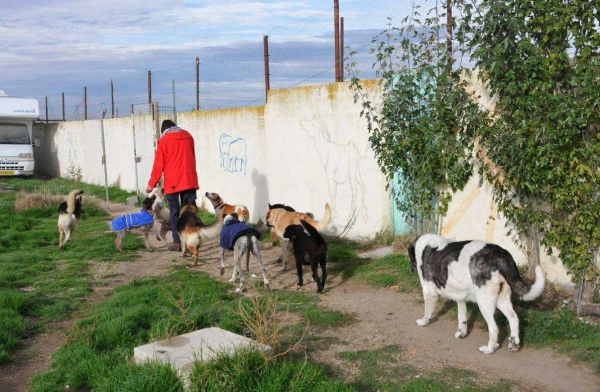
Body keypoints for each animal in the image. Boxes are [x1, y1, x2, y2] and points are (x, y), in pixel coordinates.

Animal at [408, 234, 544, 354]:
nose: (411, 268)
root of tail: (501, 254)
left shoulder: (429, 293)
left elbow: (427, 312)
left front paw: (423, 322)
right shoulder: (460, 298)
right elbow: (462, 318)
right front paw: (462, 333)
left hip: (484, 302)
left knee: (494, 328)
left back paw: (489, 349)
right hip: (501, 300)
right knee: (513, 318)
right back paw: (514, 345)